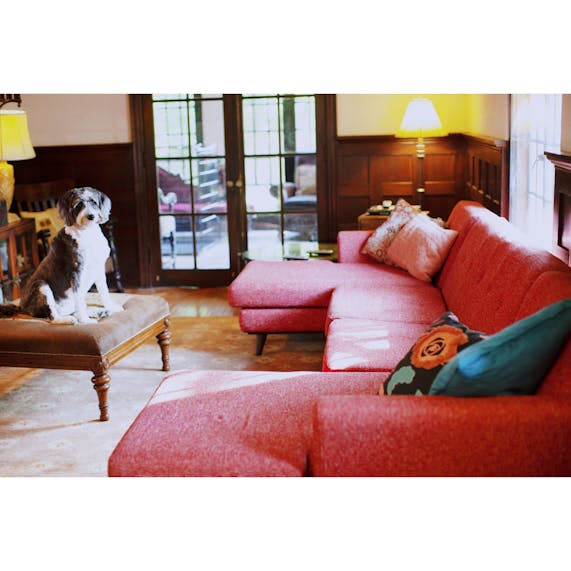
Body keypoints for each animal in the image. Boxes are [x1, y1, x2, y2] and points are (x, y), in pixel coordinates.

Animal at [0, 187, 124, 324]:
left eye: (93, 202)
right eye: (78, 205)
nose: (90, 216)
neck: (86, 233)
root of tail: (22, 308)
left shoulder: (99, 268)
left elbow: (104, 291)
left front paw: (111, 307)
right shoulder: (76, 273)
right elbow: (80, 298)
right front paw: (85, 320)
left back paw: (97, 312)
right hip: (41, 285)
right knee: (53, 316)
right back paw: (69, 320)